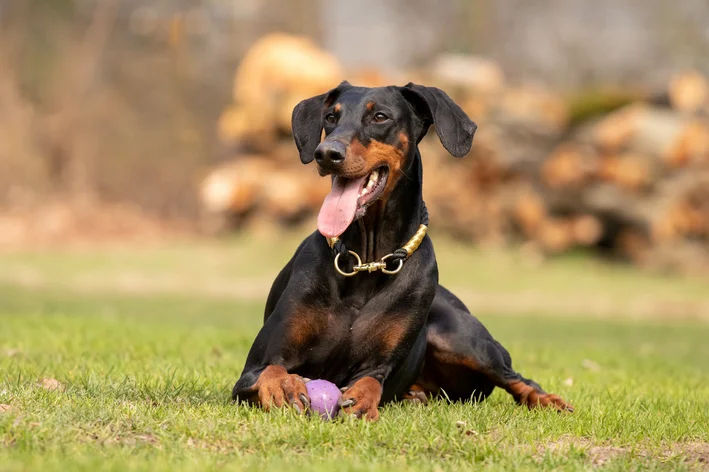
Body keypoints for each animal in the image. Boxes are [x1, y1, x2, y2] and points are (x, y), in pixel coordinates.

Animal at [234, 82, 576, 420]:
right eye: (331, 117)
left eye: (380, 117)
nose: (326, 153)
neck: (366, 261)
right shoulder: (253, 368)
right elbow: (270, 370)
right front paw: (286, 387)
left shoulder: (379, 366)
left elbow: (372, 382)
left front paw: (361, 401)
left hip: (463, 338)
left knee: (516, 377)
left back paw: (550, 400)